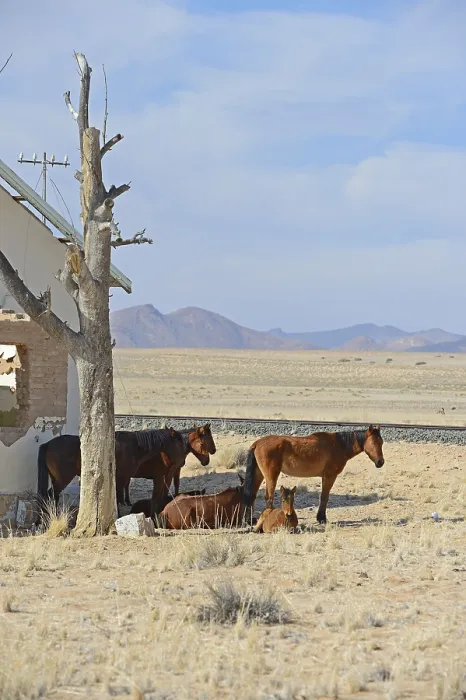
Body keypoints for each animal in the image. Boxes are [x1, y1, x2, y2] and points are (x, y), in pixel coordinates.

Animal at [36, 427, 186, 521]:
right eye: (179, 443)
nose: (182, 462)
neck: (134, 447)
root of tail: (48, 444)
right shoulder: (124, 478)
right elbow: (119, 498)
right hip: (63, 478)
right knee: (50, 495)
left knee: (53, 496)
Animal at [242, 425, 385, 525]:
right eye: (373, 442)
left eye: (381, 442)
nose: (380, 462)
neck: (338, 445)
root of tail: (257, 443)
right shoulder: (330, 476)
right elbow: (324, 497)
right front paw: (322, 518)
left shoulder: (324, 477)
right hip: (271, 475)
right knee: (269, 497)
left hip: (259, 474)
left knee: (252, 495)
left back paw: (250, 520)